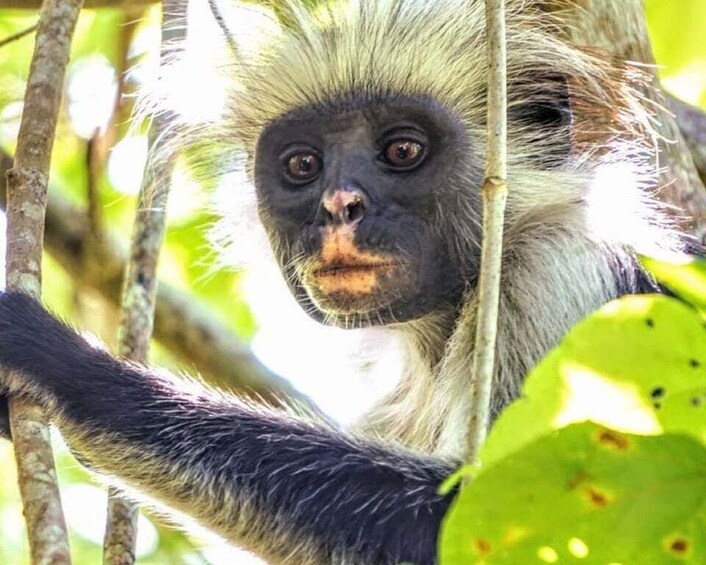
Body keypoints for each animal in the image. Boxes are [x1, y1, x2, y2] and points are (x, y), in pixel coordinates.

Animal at [0, 0, 684, 560]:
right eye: (303, 164)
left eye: (403, 151)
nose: (339, 206)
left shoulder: (556, 270)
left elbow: (466, 523)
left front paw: (62, 363)